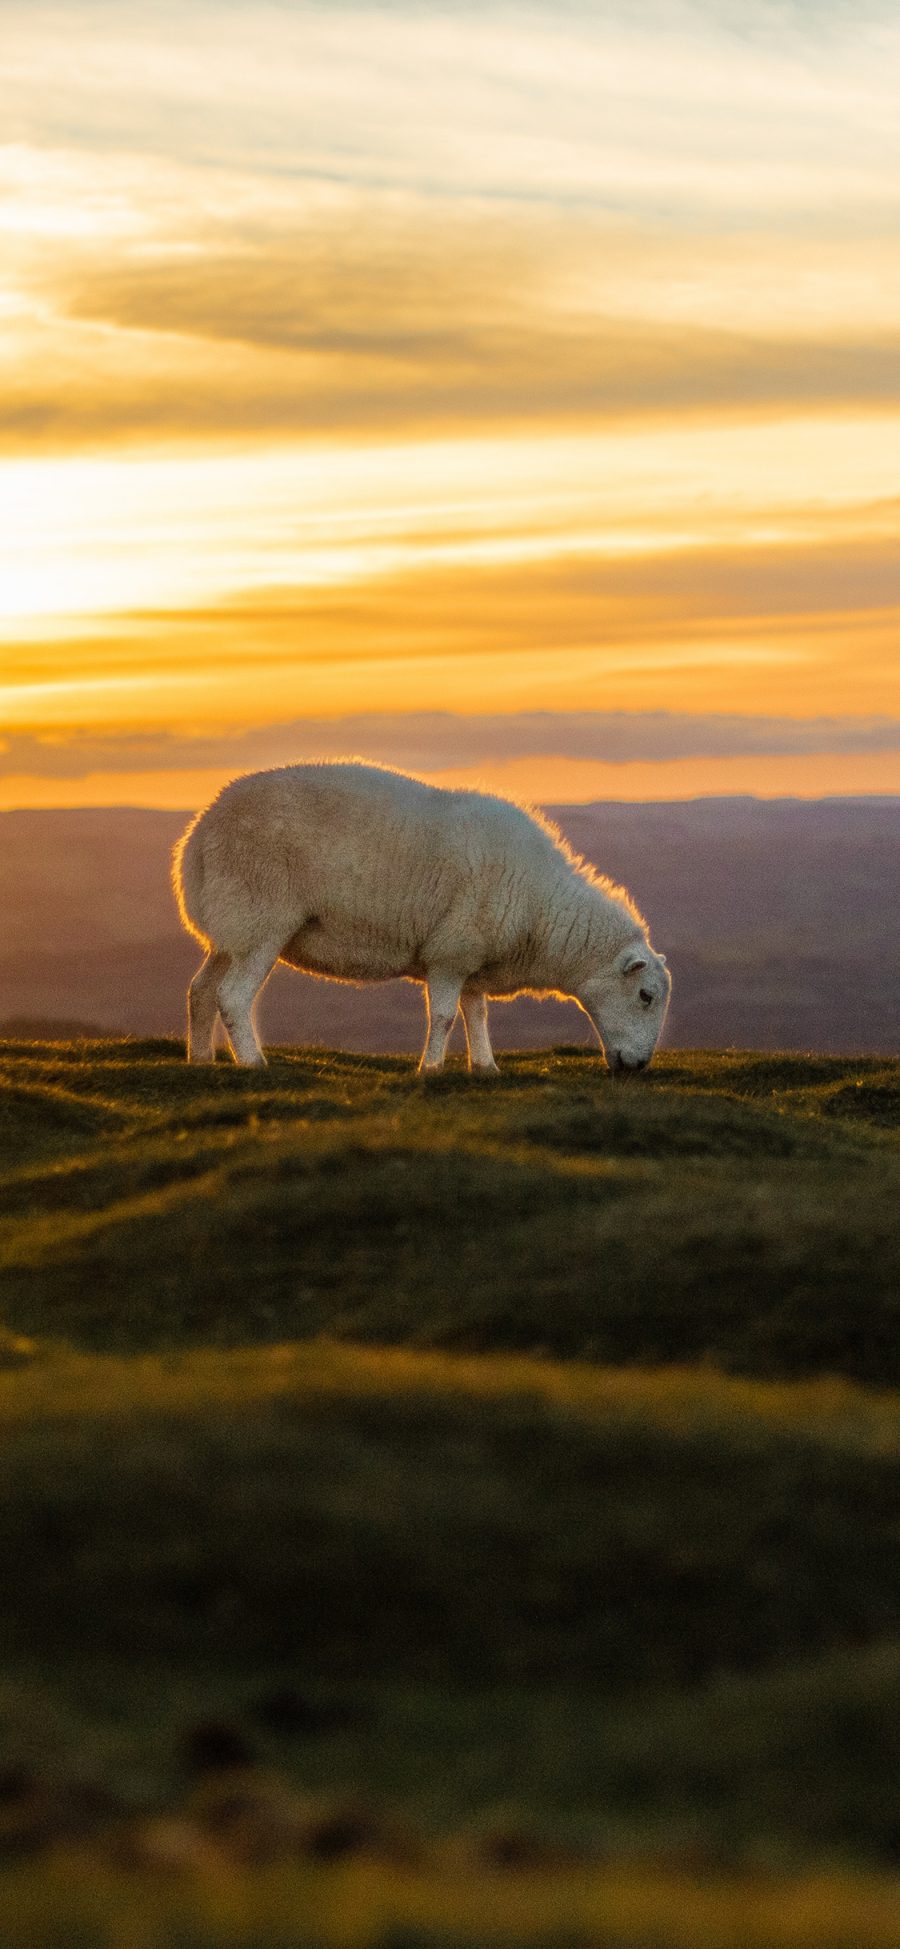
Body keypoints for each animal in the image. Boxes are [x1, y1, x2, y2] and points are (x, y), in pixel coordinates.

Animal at [172, 756, 670, 1068]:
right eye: (646, 996)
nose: (637, 1066)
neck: (541, 910)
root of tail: (199, 835)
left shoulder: (471, 956)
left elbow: (476, 1014)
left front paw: (485, 1067)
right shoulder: (451, 950)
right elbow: (446, 1016)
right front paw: (429, 1069)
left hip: (232, 926)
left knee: (199, 990)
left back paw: (200, 1059)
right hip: (261, 919)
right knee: (233, 996)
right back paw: (253, 1062)